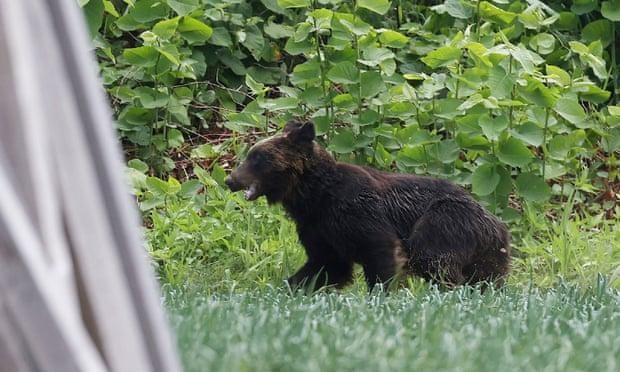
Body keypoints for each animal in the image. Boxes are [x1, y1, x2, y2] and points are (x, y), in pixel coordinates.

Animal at [225, 120, 512, 292]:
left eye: (257, 157)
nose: (230, 179)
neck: (313, 195)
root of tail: (496, 222)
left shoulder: (357, 212)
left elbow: (380, 251)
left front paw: (381, 294)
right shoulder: (318, 228)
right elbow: (325, 265)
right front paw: (290, 287)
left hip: (445, 221)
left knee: (433, 258)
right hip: (488, 253)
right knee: (486, 278)